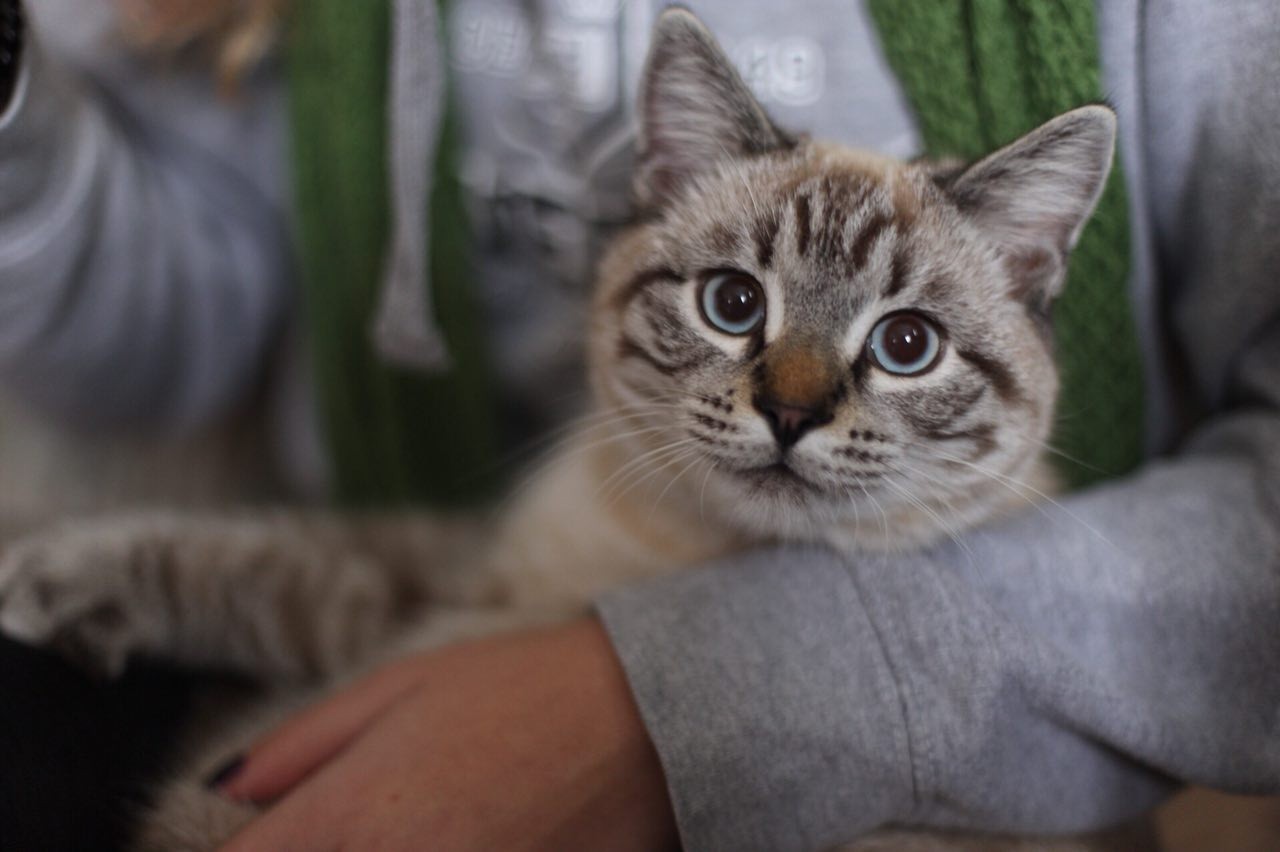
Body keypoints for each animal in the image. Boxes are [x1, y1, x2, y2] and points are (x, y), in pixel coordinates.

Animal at [0, 8, 1131, 849]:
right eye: (732, 305)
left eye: (904, 346)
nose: (790, 414)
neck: (675, 558)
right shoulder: (432, 586)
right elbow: (253, 553)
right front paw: (41, 575)